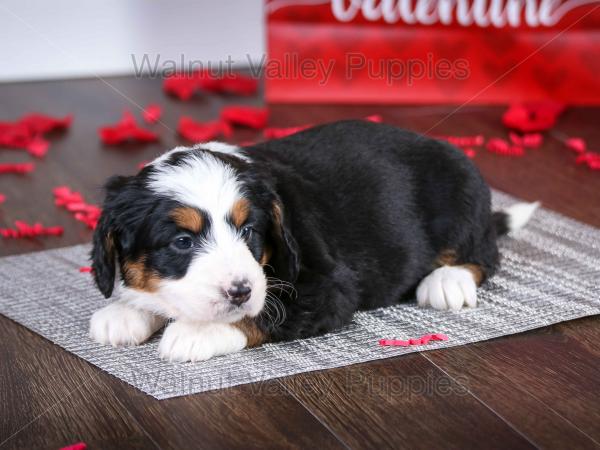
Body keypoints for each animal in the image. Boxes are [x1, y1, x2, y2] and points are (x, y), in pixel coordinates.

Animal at [90, 119, 540, 362]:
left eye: (249, 231)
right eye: (183, 242)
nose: (239, 290)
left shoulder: (327, 284)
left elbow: (264, 312)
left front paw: (195, 333)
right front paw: (124, 312)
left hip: (461, 186)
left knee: (482, 253)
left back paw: (447, 282)